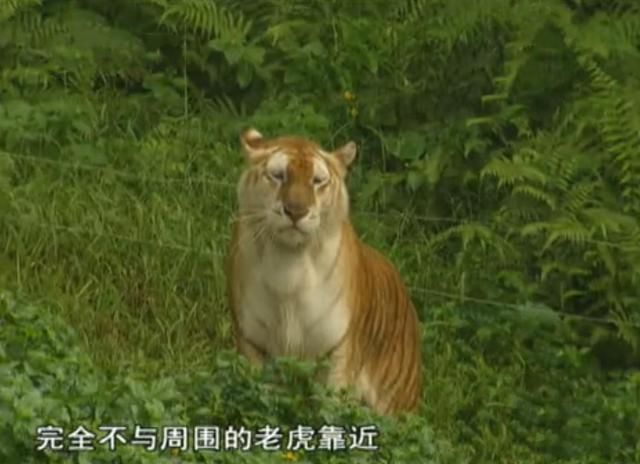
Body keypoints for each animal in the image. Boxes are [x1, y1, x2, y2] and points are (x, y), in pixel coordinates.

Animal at [226, 128, 423, 416]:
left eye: (317, 181)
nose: (296, 211)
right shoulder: (253, 343)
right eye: (278, 175)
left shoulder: (337, 351)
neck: (288, 263)